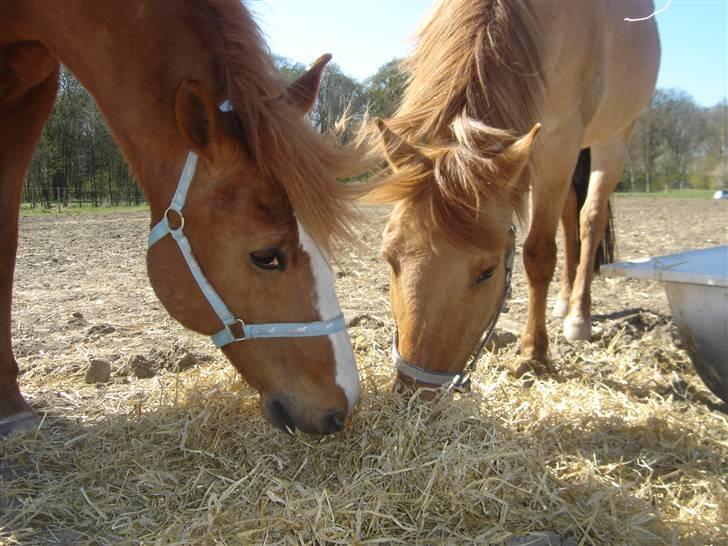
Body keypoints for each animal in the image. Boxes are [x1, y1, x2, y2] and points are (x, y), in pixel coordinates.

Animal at [364, 0, 660, 386]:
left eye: (487, 272)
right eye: (390, 258)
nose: (414, 389)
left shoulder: (558, 144)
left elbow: (538, 255)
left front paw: (533, 354)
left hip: (613, 139)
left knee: (589, 220)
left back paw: (578, 316)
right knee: (570, 215)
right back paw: (564, 300)